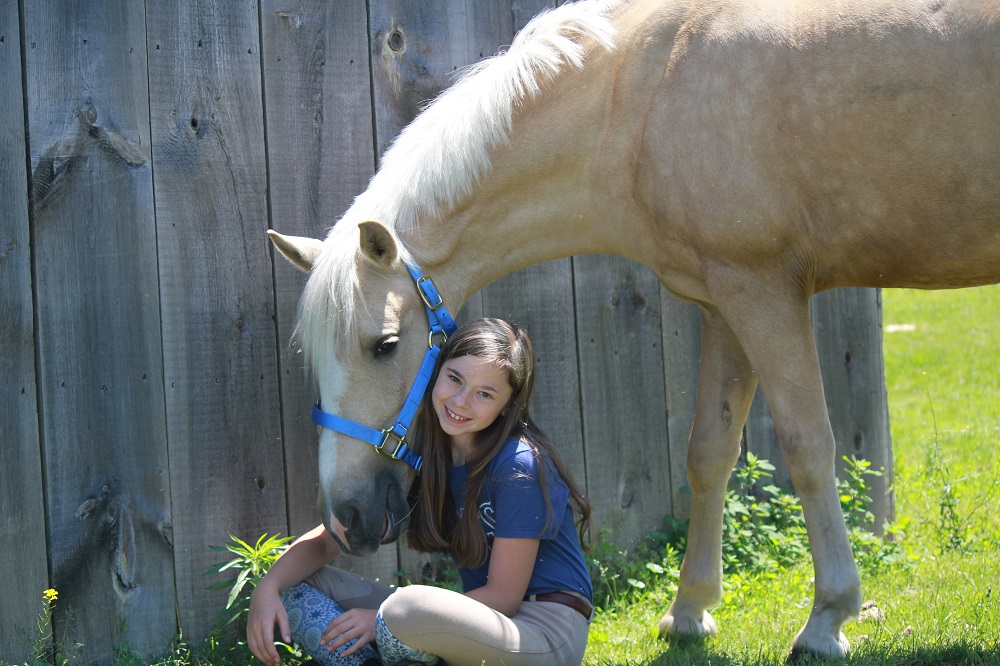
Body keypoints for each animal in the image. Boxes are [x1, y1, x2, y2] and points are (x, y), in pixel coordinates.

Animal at [268, 0, 1000, 657]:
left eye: (386, 345)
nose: (345, 517)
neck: (641, 97)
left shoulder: (763, 291)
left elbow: (808, 449)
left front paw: (827, 620)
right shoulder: (723, 303)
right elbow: (708, 452)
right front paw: (690, 613)